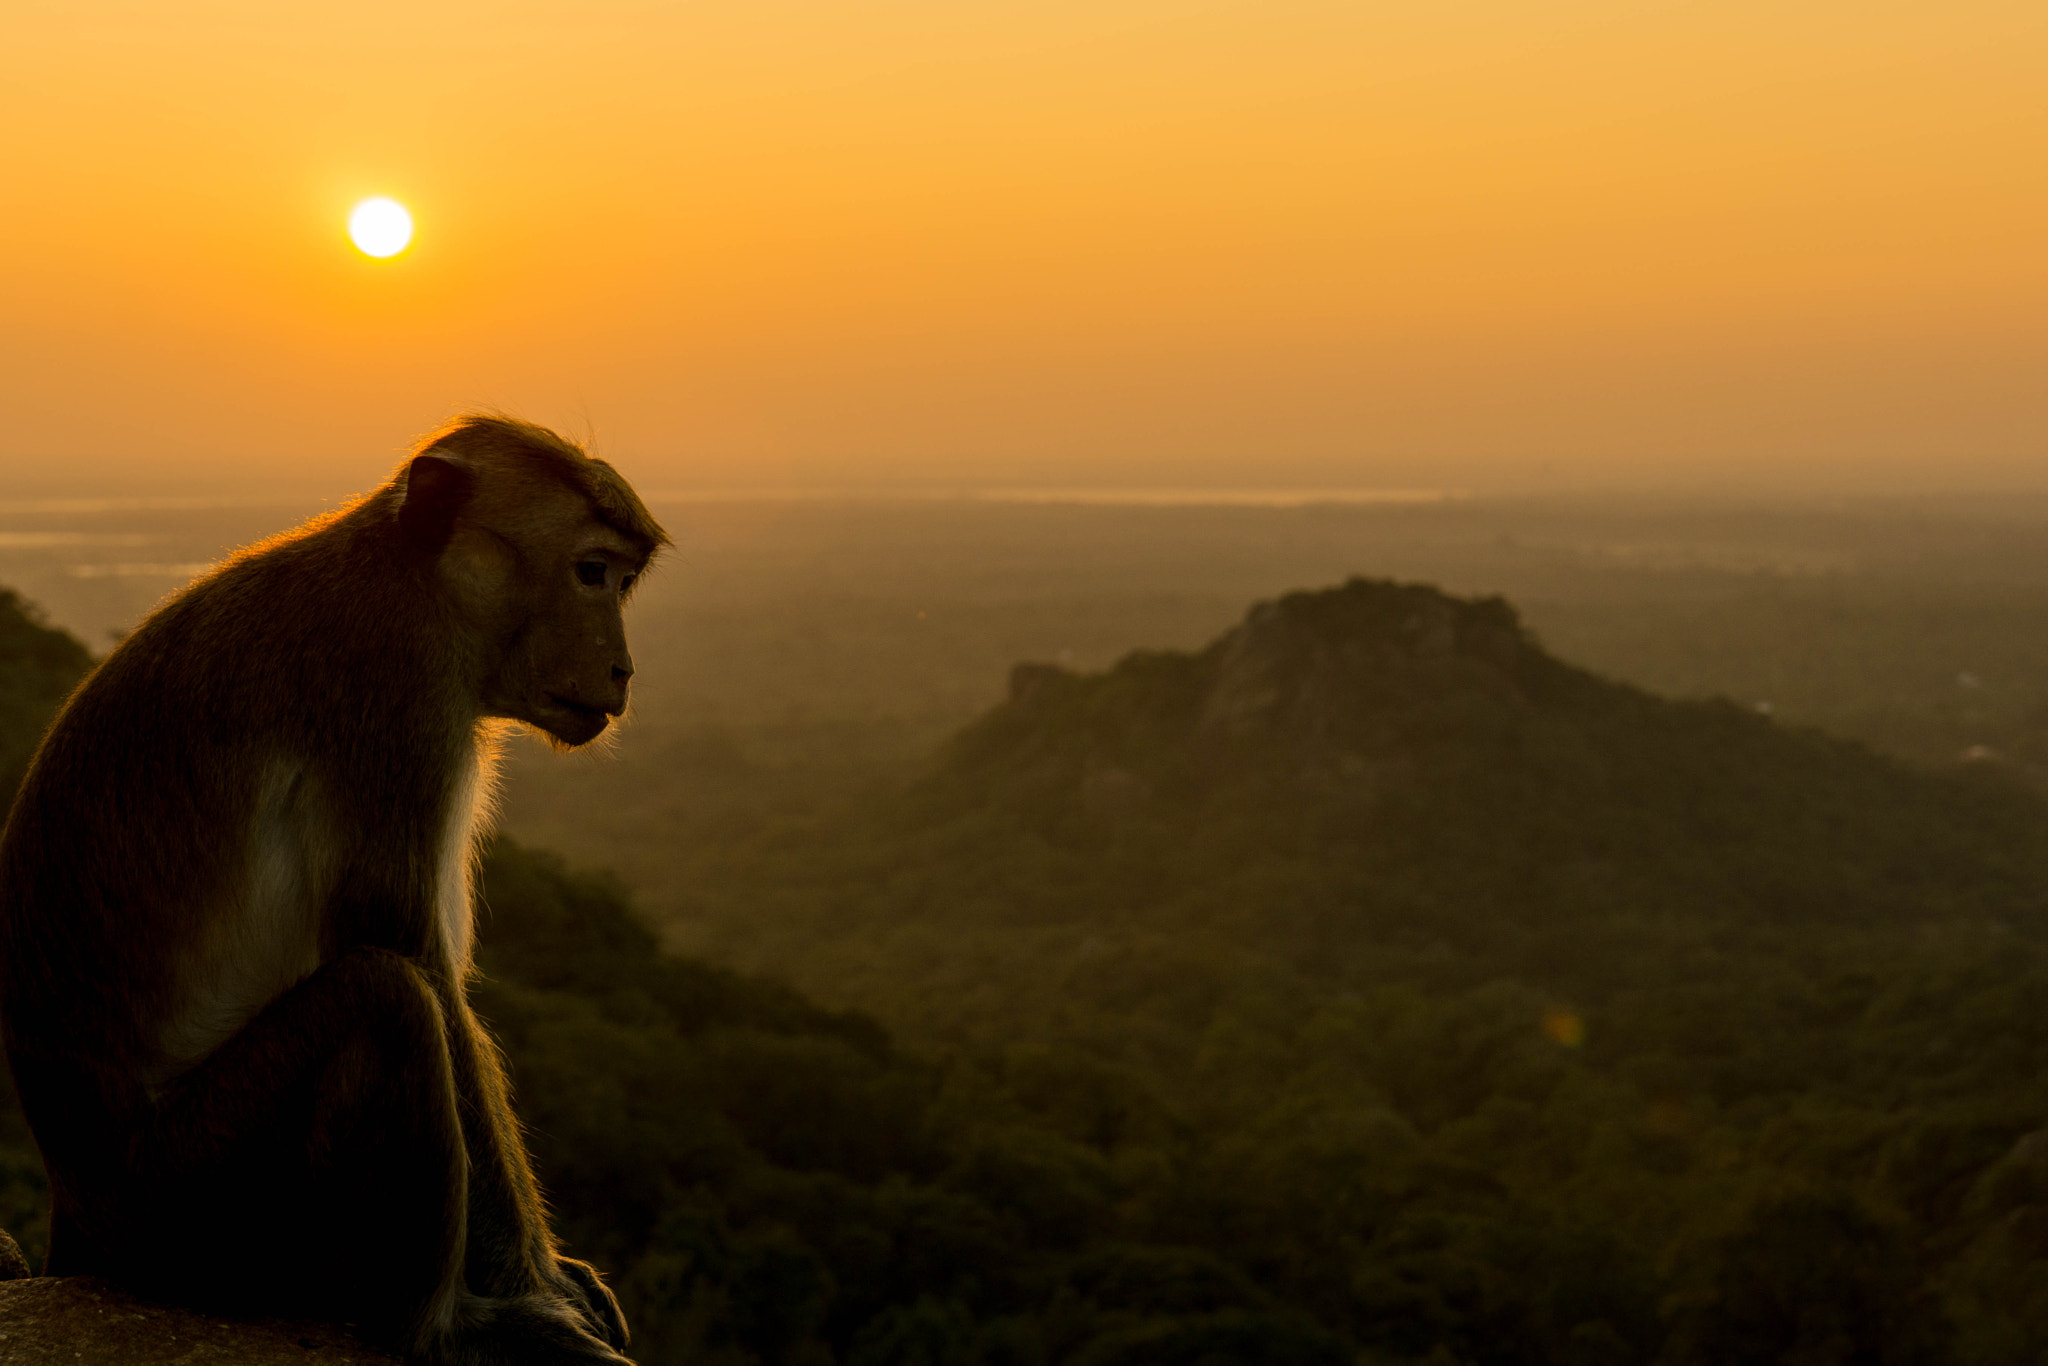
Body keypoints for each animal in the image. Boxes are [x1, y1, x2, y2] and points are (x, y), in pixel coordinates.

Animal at [0, 411, 663, 1359]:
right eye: (590, 571)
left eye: (620, 580)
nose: (622, 669)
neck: (417, 582)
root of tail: (80, 1208)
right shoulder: (395, 695)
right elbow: (406, 948)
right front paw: (533, 1285)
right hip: (194, 1197)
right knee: (386, 1003)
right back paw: (445, 1326)